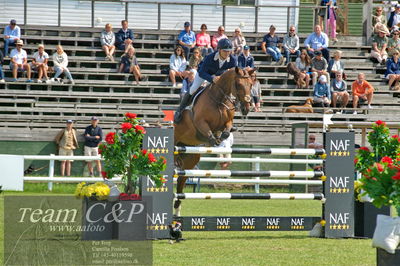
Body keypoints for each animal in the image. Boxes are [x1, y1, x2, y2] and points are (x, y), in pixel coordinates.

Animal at [173, 67, 255, 216]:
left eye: (251, 84)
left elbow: (226, 131)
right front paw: (214, 141)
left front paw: (219, 138)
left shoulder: (227, 123)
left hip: (189, 161)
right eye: (238, 84)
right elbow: (209, 134)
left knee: (181, 183)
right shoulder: (201, 122)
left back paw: (177, 211)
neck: (219, 99)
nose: (246, 108)